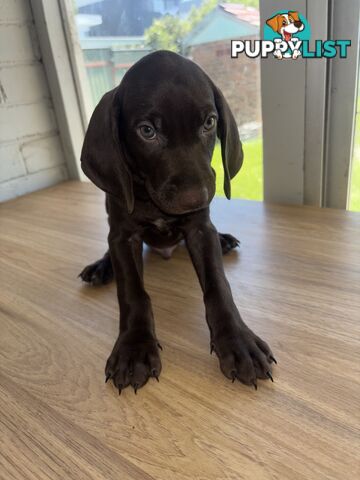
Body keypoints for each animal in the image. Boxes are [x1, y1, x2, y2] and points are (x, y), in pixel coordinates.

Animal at [79, 49, 276, 394]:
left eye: (210, 123)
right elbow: (133, 293)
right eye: (147, 131)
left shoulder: (199, 229)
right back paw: (101, 266)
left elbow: (218, 287)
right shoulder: (123, 237)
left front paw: (238, 341)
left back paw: (224, 239)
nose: (195, 199)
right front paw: (134, 347)